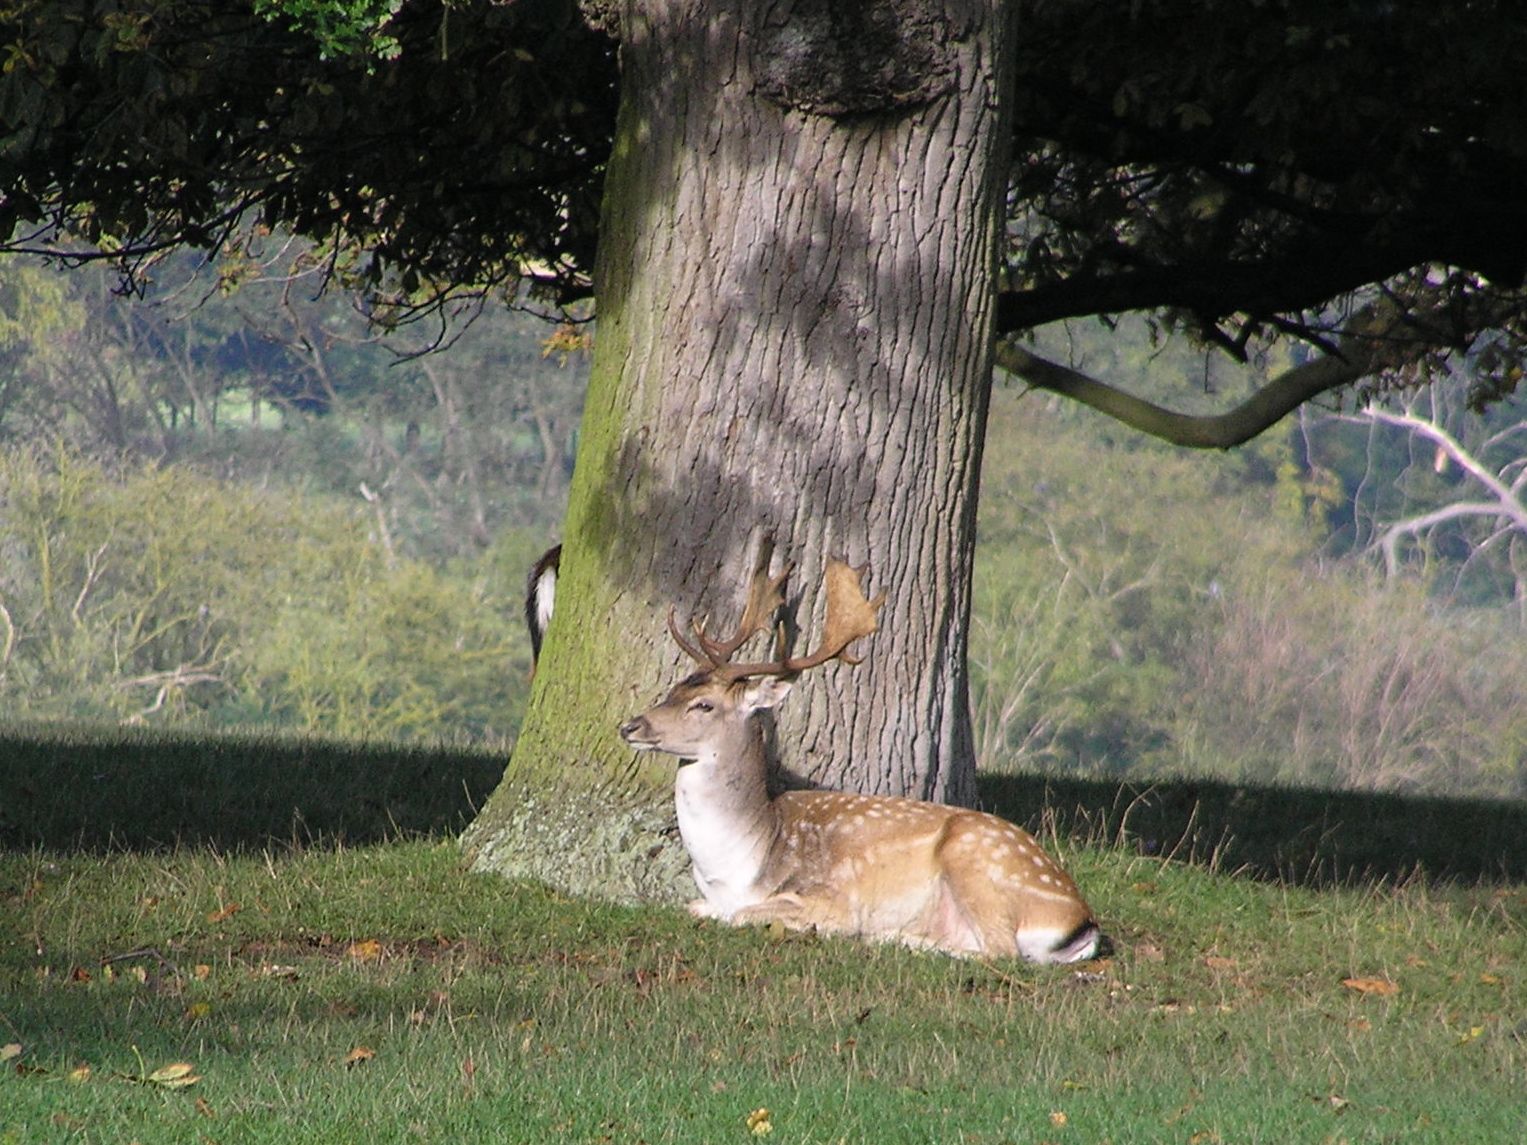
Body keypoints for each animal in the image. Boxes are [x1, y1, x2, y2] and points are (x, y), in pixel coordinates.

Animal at [619, 547, 1102, 965]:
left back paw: (890, 936)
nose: (631, 726)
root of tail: (1082, 922)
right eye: (674, 689)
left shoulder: (831, 896)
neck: (741, 863)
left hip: (977, 861)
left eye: (703, 705)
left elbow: (743, 915)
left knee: (999, 951)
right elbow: (695, 907)